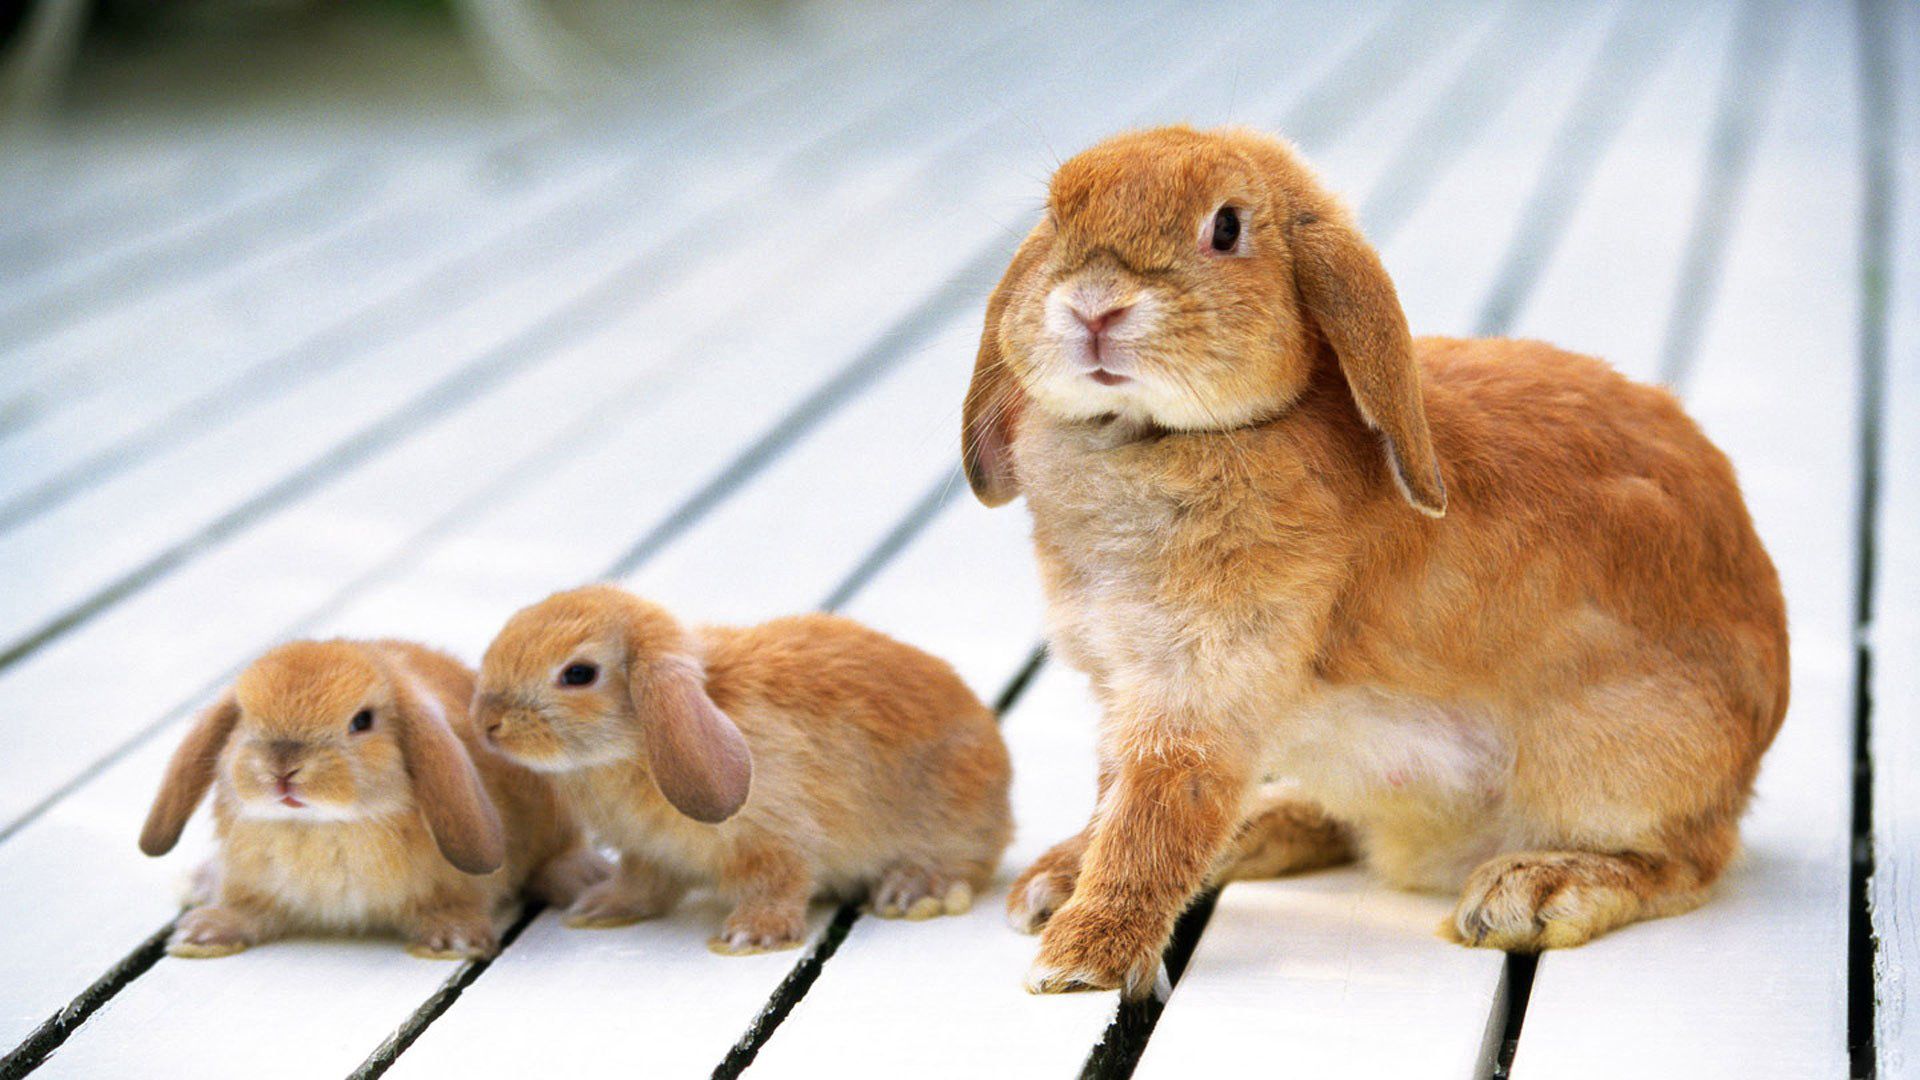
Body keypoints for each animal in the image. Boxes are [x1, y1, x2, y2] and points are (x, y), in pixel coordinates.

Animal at [140, 634, 602, 953]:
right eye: (244, 718)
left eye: (361, 721)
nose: (283, 770)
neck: (324, 826)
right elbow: (249, 911)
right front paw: (203, 933)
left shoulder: (459, 883)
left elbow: (456, 904)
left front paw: (452, 940)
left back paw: (583, 880)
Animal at [472, 580, 1013, 949]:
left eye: (578, 674)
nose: (486, 723)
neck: (636, 747)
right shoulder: (648, 853)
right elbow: (641, 885)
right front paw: (599, 908)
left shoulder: (775, 838)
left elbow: (779, 880)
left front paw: (750, 937)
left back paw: (913, 892)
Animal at [967, 123, 1789, 991]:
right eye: (1057, 216)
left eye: (1225, 228)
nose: (1094, 306)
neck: (1152, 437)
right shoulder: (1126, 687)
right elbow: (1112, 802)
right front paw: (1055, 885)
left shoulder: (1201, 689)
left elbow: (1155, 814)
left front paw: (1079, 956)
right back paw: (1259, 829)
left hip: (1617, 762)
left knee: (1688, 861)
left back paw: (1533, 890)